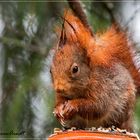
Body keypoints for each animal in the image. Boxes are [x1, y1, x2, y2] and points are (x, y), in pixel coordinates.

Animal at [49, 1, 140, 132]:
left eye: (75, 69)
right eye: (50, 71)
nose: (59, 88)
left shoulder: (103, 87)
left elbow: (97, 107)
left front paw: (72, 106)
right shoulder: (62, 95)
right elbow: (60, 100)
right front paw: (58, 109)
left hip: (122, 111)